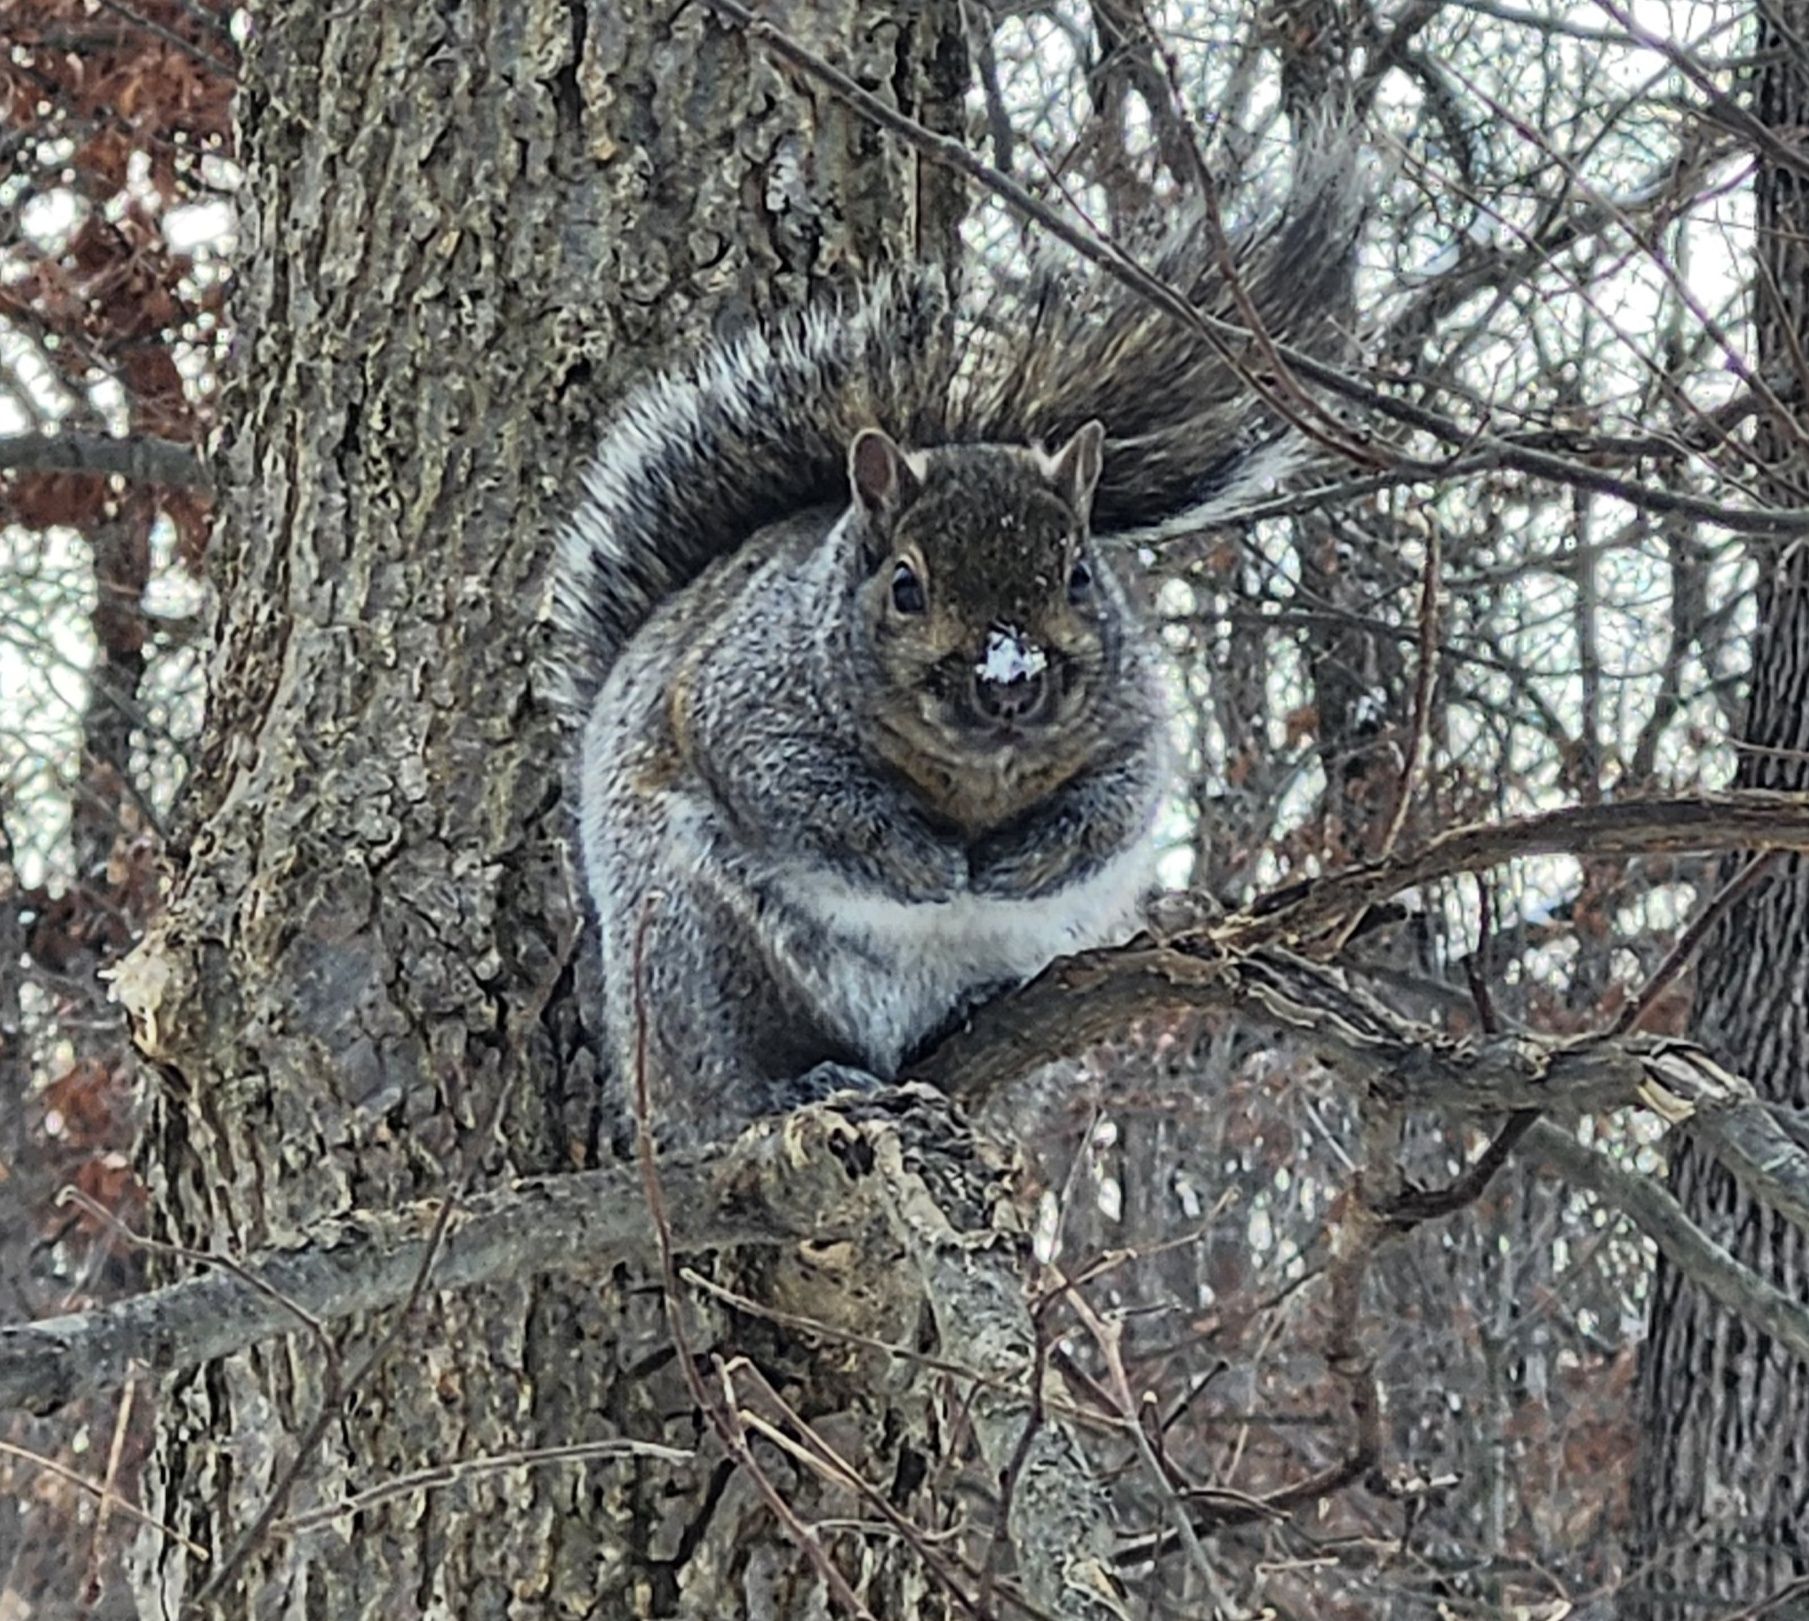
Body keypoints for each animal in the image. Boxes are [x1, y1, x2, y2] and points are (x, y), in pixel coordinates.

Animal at [555, 155, 1362, 1147]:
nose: (1006, 680)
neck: (975, 780)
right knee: (721, 1079)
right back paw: (790, 1085)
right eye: (905, 585)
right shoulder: (739, 703)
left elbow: (1115, 807)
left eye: (1079, 575)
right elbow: (810, 797)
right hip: (690, 959)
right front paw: (925, 862)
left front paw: (1020, 864)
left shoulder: (1133, 726)